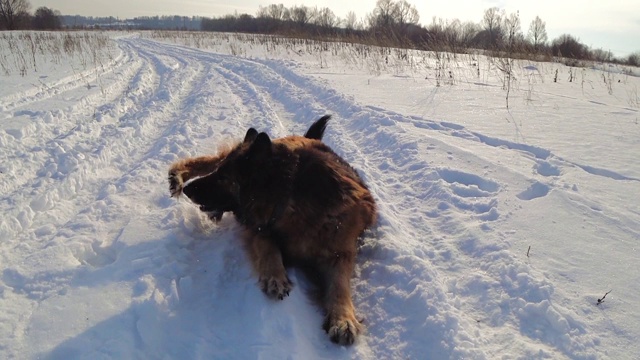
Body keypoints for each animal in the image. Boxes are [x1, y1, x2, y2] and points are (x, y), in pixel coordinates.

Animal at [168, 116, 378, 344]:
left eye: (223, 178)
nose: (188, 191)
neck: (290, 194)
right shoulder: (259, 228)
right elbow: (269, 247)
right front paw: (275, 277)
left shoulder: (340, 250)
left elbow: (340, 285)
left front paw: (343, 320)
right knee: (210, 159)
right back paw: (177, 177)